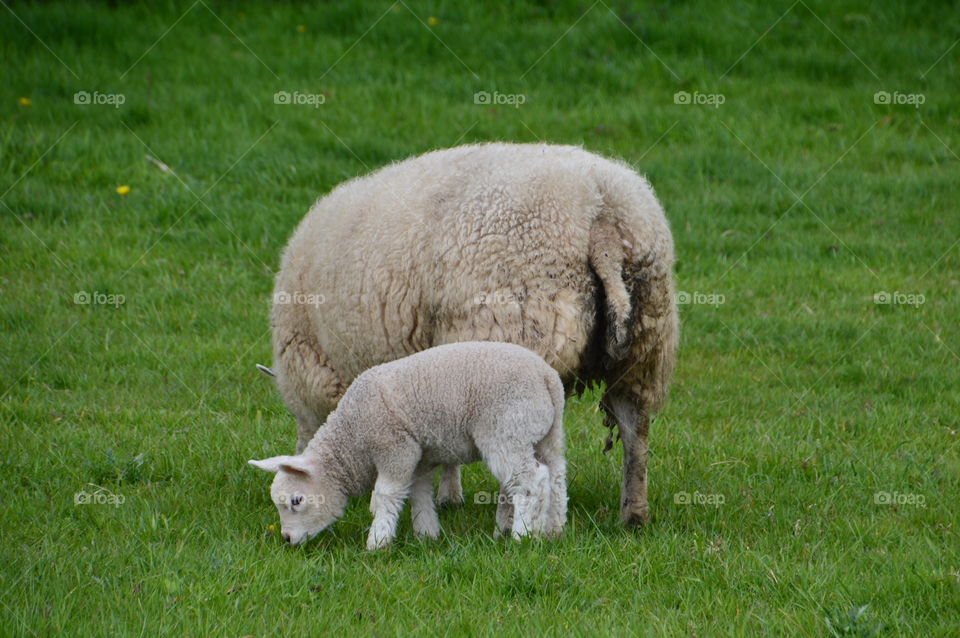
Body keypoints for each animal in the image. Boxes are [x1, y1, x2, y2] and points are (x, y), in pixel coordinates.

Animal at [250, 341, 567, 549]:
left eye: (296, 500)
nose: (287, 539)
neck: (352, 436)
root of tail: (546, 376)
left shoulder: (396, 449)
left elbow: (386, 494)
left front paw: (377, 541)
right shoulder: (420, 457)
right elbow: (419, 494)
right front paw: (427, 534)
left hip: (506, 431)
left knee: (531, 481)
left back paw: (523, 534)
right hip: (545, 433)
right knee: (555, 476)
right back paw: (553, 529)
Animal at [270, 142, 678, 527]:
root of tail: (600, 209)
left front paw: (448, 496)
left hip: (516, 344)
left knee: (522, 459)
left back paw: (508, 522)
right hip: (647, 344)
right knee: (635, 430)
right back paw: (633, 514)